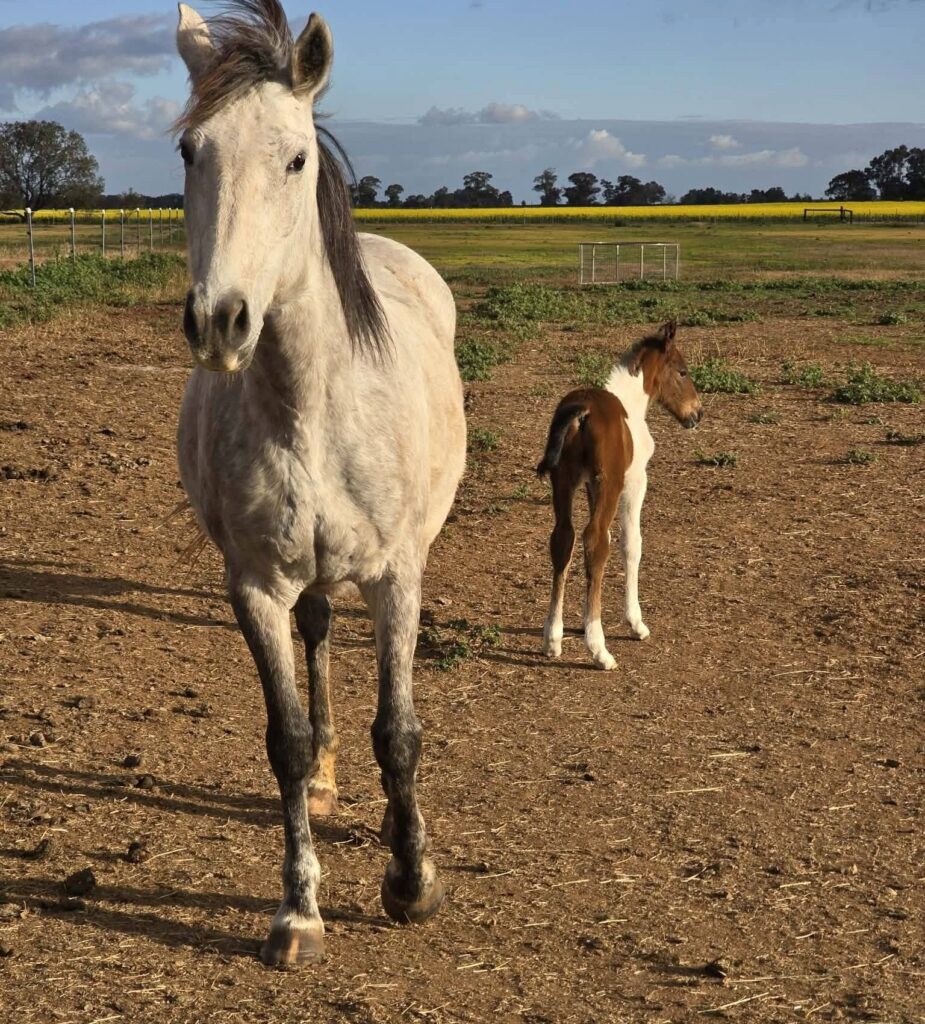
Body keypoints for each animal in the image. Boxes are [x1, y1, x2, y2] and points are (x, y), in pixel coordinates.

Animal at [174, 0, 466, 966]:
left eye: (295, 157)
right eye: (190, 152)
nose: (220, 321)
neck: (311, 405)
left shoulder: (397, 578)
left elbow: (399, 734)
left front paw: (411, 882)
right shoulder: (255, 586)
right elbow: (287, 742)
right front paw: (297, 910)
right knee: (317, 639)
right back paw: (333, 785)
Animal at [536, 321, 702, 671]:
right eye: (683, 372)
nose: (698, 413)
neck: (631, 404)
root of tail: (582, 411)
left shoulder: (588, 486)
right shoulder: (635, 481)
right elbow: (631, 544)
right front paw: (635, 622)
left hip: (563, 481)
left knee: (564, 538)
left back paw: (552, 639)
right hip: (609, 484)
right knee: (595, 540)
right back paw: (599, 648)